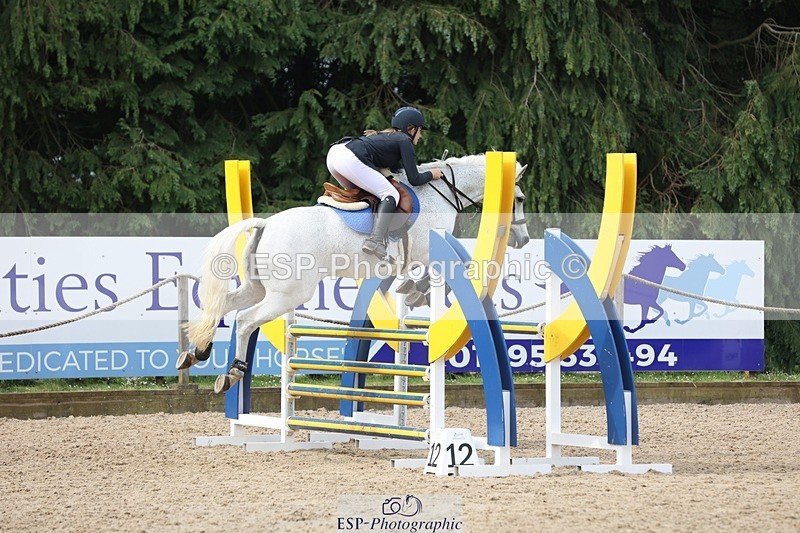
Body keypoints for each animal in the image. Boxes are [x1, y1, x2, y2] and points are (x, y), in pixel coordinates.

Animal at [178, 154, 531, 393]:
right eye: (520, 199)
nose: (524, 239)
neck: (440, 193)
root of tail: (266, 224)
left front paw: (410, 291)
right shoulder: (428, 252)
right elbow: (440, 273)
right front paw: (415, 291)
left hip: (259, 288)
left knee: (223, 307)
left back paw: (197, 352)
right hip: (287, 295)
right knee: (245, 320)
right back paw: (233, 372)